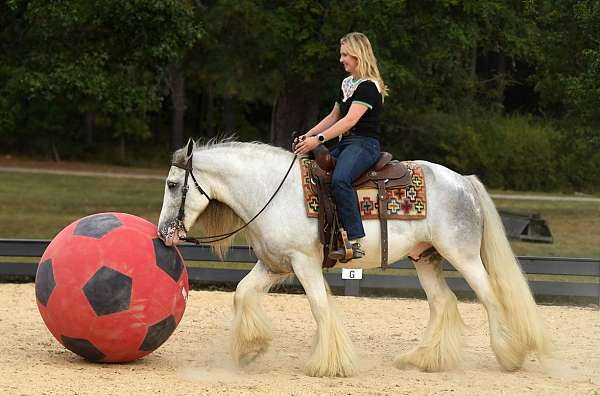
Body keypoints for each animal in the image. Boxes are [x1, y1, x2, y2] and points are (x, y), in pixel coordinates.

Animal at [157, 138, 552, 378]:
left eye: (173, 185)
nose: (163, 233)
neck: (273, 191)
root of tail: (464, 182)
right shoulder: (274, 264)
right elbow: (241, 293)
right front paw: (251, 350)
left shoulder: (304, 263)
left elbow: (320, 308)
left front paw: (329, 364)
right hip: (426, 258)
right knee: (443, 302)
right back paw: (424, 359)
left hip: (464, 256)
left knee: (490, 297)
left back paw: (509, 354)